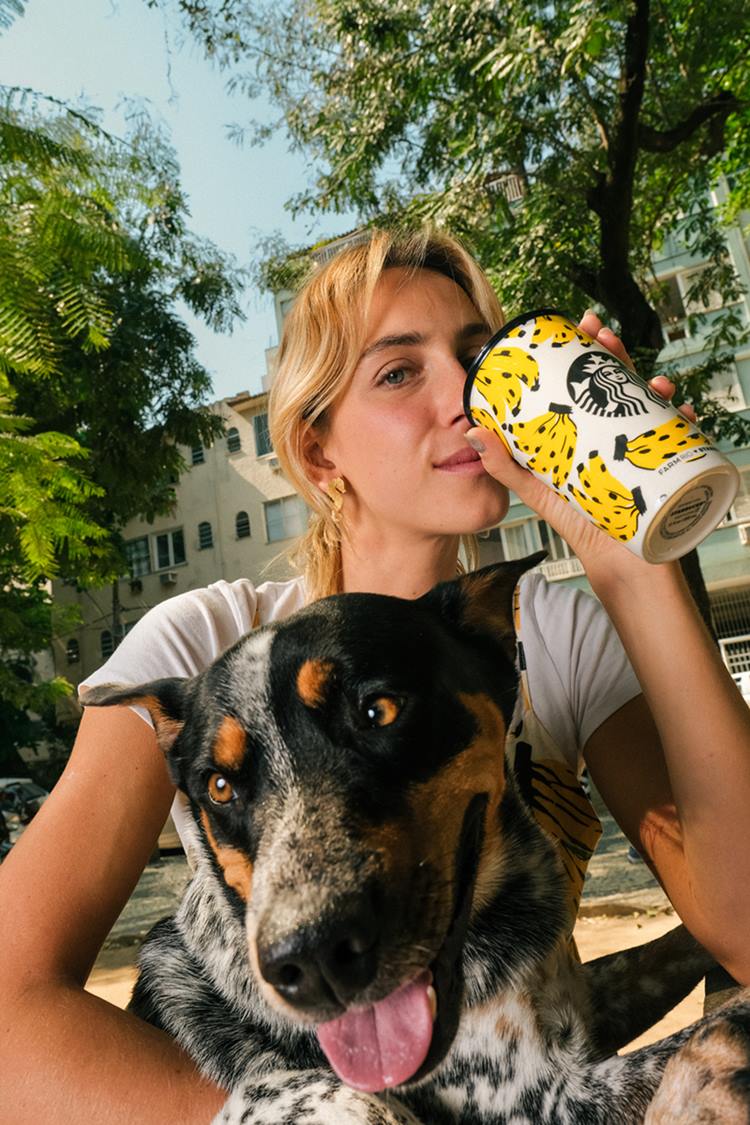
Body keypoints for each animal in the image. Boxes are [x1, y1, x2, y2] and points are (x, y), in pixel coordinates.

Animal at [84, 558, 746, 1120]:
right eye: (220, 787)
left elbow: (669, 948)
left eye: (378, 711)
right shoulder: (550, 1101)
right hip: (337, 1099)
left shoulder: (583, 999)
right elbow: (694, 1037)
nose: (313, 964)